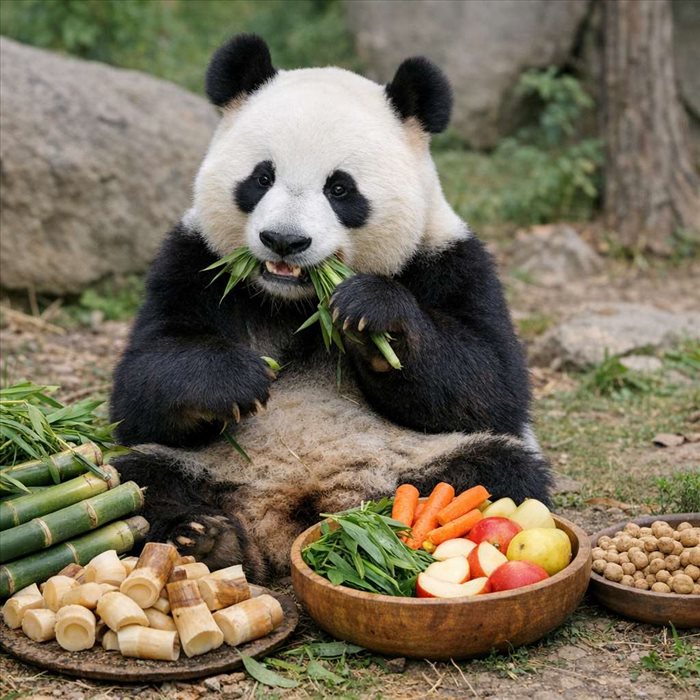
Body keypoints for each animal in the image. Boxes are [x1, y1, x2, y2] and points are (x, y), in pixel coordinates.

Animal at [111, 34, 552, 582]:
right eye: (262, 177)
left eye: (339, 188)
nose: (284, 240)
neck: (294, 301)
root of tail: (295, 508)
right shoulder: (194, 263)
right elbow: (142, 387)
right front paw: (234, 380)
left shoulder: (450, 261)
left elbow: (488, 384)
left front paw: (371, 314)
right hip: (208, 465)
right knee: (138, 478)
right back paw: (207, 539)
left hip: (420, 464)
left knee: (496, 471)